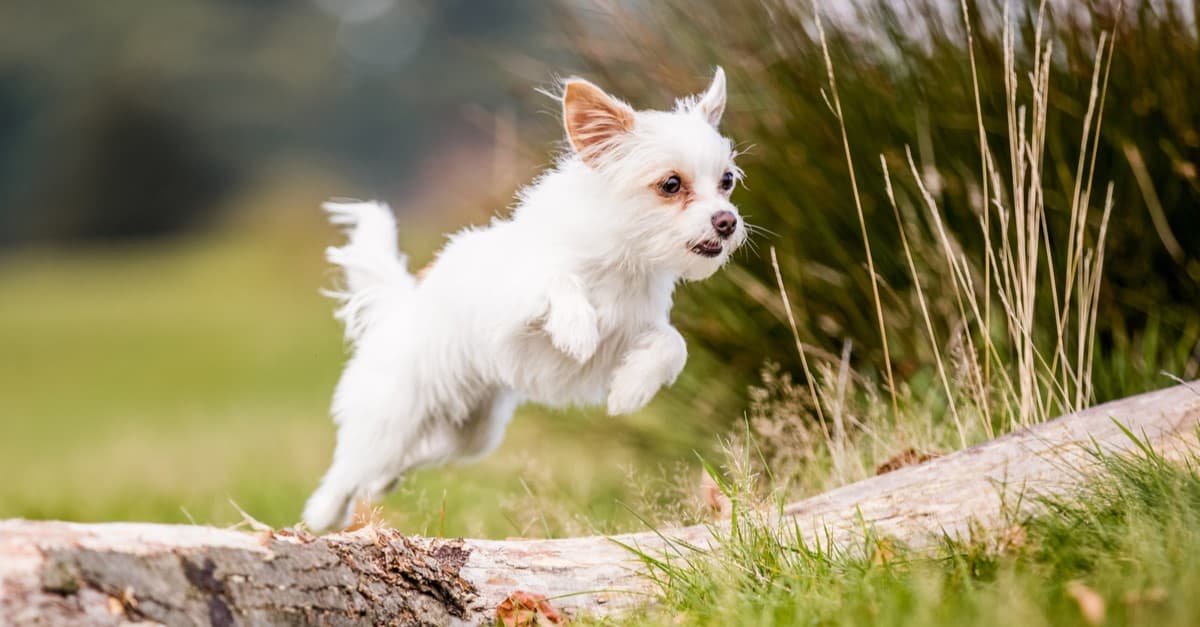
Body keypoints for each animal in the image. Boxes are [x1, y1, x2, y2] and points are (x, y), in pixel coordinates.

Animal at [304, 68, 744, 528]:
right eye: (671, 184)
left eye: (727, 181)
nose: (727, 221)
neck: (624, 261)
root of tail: (399, 309)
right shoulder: (509, 305)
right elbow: (556, 279)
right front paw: (576, 328)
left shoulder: (628, 335)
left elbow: (672, 344)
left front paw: (631, 389)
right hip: (390, 417)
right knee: (348, 469)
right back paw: (323, 514)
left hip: (472, 433)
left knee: (409, 459)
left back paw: (381, 484)